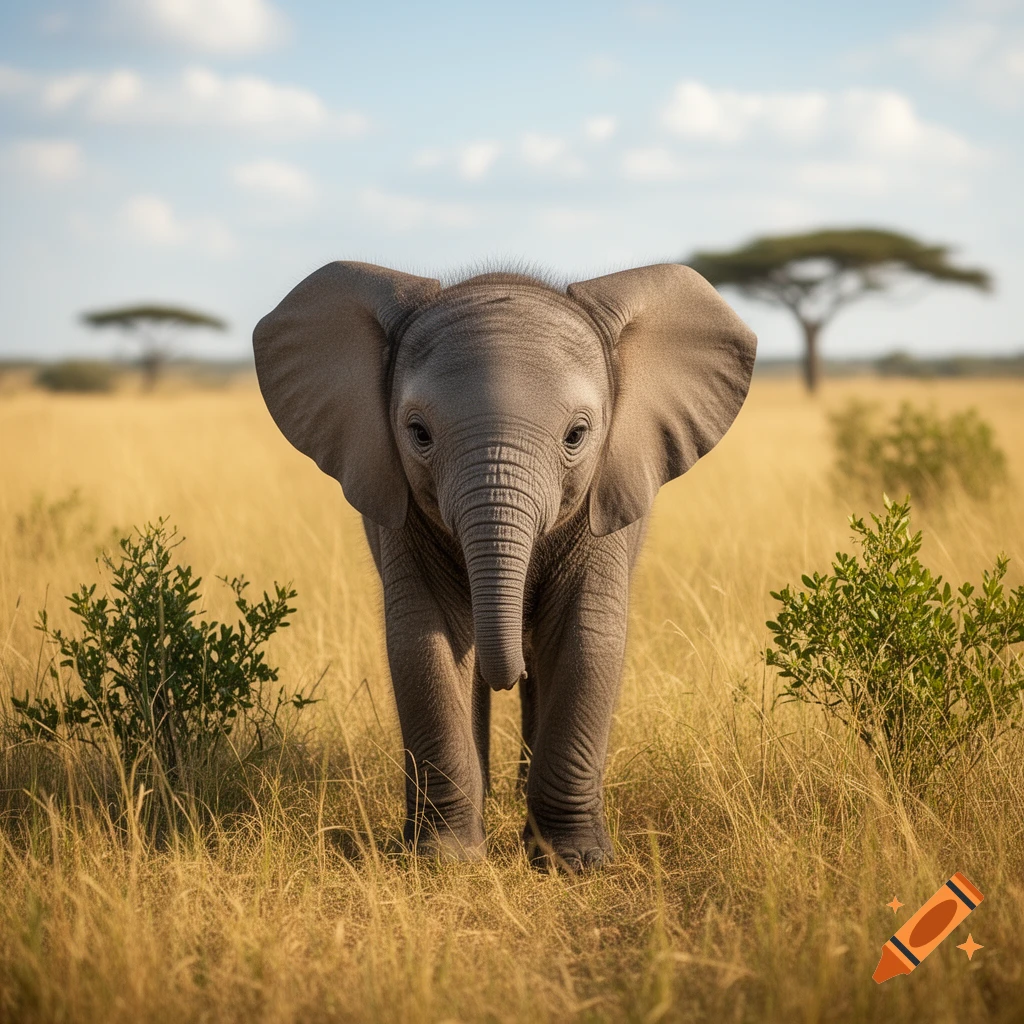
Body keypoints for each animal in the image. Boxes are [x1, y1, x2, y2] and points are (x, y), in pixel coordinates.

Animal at [253, 260, 756, 871]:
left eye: (577, 435)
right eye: (418, 433)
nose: (506, 673)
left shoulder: (608, 497)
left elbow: (586, 636)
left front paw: (574, 864)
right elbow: (425, 638)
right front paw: (444, 861)